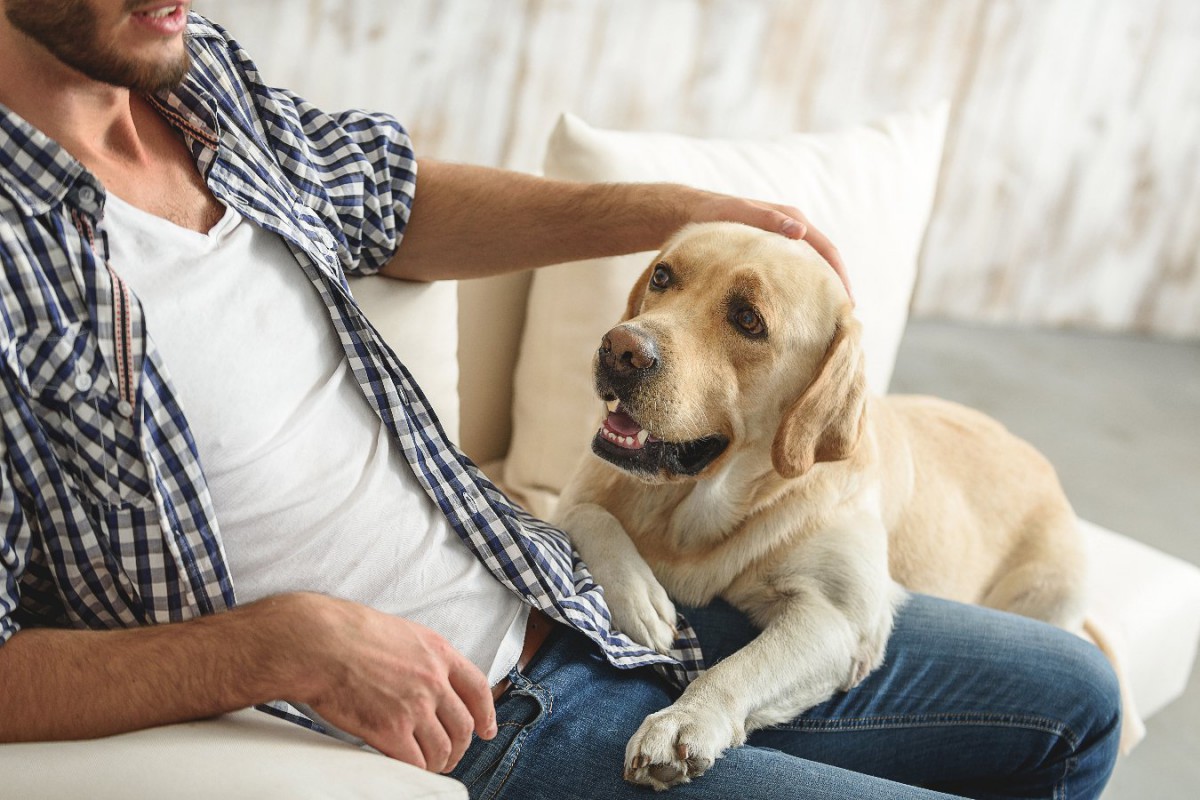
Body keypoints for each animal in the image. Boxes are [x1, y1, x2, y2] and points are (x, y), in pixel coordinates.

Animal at [556, 221, 1137, 791]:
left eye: (748, 319)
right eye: (662, 276)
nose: (620, 349)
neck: (697, 509)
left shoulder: (839, 620)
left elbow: (738, 669)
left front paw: (684, 720)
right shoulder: (573, 493)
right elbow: (587, 514)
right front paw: (642, 603)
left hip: (1047, 591)